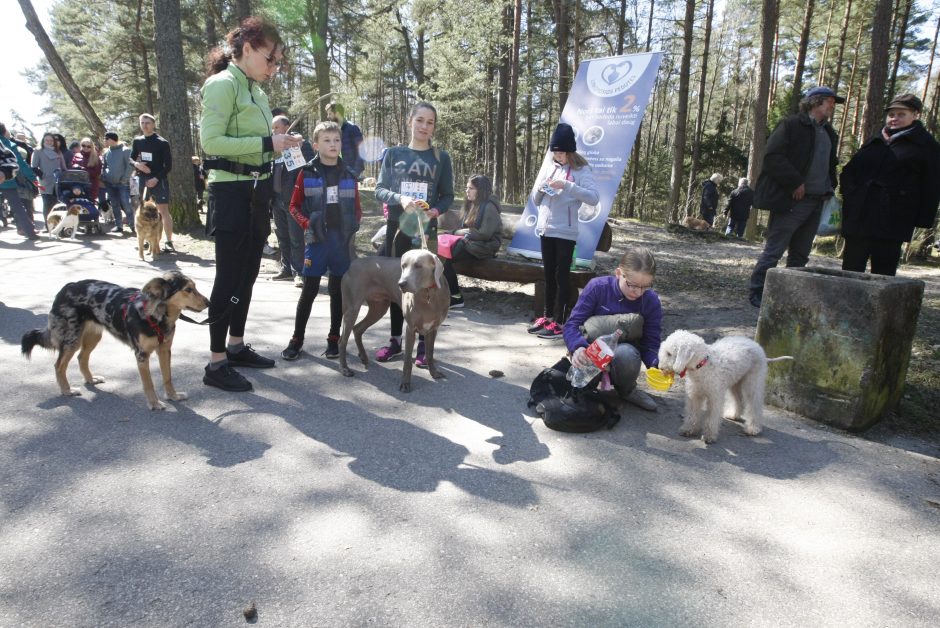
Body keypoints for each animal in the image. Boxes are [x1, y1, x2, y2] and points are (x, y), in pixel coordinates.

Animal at [23, 272, 210, 410]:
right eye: (188, 289)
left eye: (194, 287)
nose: (208, 302)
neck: (157, 316)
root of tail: (67, 286)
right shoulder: (142, 355)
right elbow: (148, 383)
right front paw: (154, 403)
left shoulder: (164, 350)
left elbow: (168, 377)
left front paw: (173, 396)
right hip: (72, 340)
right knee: (59, 365)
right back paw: (67, 390)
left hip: (93, 337)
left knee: (82, 357)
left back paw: (90, 379)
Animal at [342, 248, 452, 390]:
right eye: (403, 266)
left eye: (418, 266)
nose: (401, 284)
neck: (428, 294)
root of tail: (355, 261)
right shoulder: (410, 329)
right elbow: (407, 361)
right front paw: (405, 383)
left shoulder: (433, 329)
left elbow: (430, 353)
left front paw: (434, 373)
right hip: (352, 308)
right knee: (342, 341)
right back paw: (345, 369)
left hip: (379, 308)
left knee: (357, 329)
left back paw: (364, 357)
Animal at [660, 328, 792, 442]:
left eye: (669, 353)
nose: (660, 368)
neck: (703, 365)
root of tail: (759, 348)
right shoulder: (694, 396)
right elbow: (692, 414)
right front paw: (688, 430)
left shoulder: (715, 397)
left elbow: (712, 417)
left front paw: (709, 436)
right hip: (735, 383)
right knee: (738, 400)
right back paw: (733, 415)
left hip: (753, 382)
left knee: (754, 405)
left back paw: (753, 428)